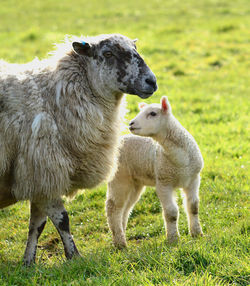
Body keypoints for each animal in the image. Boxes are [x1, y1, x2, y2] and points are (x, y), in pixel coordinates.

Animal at [0, 34, 156, 266]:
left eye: (135, 49)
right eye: (108, 53)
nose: (151, 81)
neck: (52, 96)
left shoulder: (38, 177)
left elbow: (37, 224)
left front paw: (28, 262)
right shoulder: (44, 169)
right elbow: (62, 219)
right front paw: (74, 257)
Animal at [105, 96, 203, 248]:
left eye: (153, 113)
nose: (131, 123)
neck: (181, 161)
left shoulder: (193, 179)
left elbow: (193, 207)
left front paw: (197, 233)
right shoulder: (163, 182)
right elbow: (171, 213)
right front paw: (173, 239)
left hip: (135, 183)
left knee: (125, 209)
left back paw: (120, 235)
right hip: (119, 178)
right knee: (113, 208)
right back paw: (120, 243)